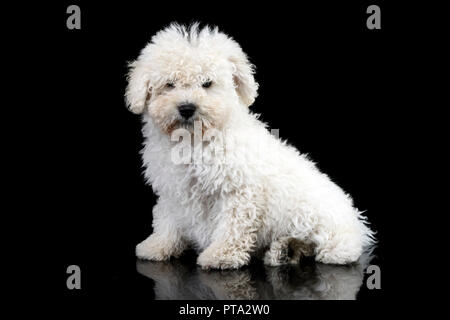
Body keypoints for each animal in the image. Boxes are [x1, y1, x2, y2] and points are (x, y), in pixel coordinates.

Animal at [125, 23, 374, 268]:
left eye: (207, 83)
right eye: (169, 84)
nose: (187, 107)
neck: (194, 141)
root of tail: (359, 227)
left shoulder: (238, 191)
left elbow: (232, 225)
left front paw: (221, 254)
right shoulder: (172, 191)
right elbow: (167, 219)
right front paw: (158, 245)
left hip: (321, 226)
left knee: (333, 250)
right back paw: (285, 250)